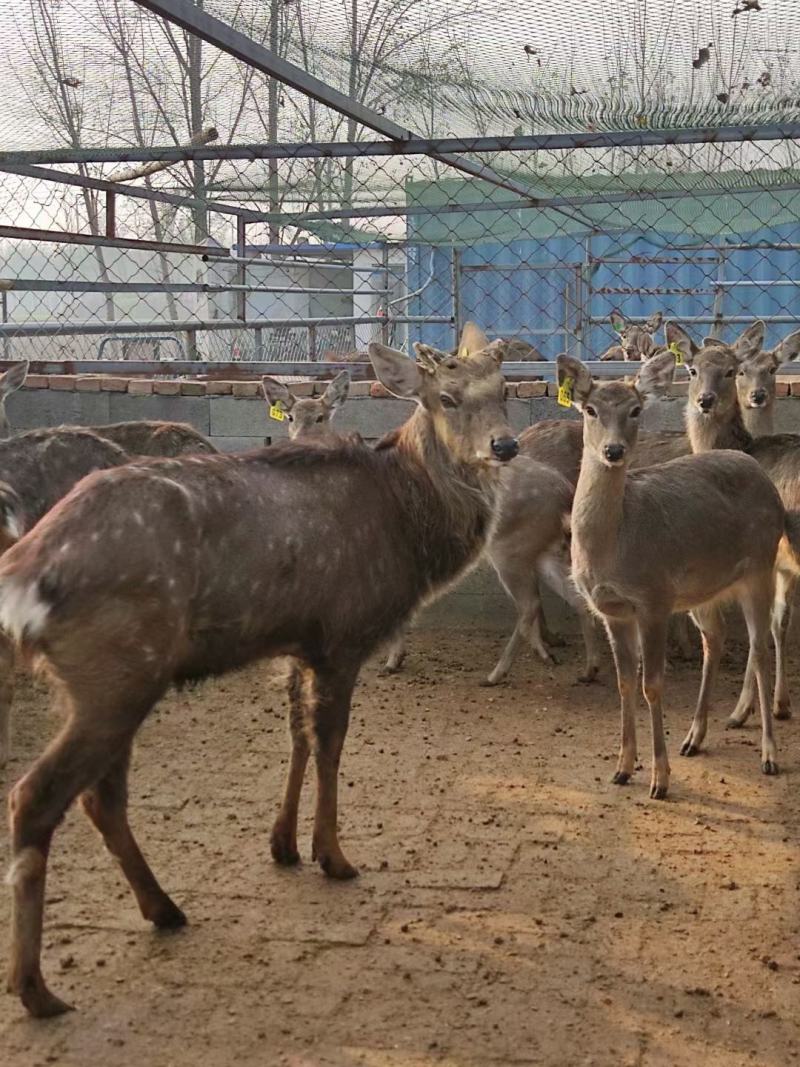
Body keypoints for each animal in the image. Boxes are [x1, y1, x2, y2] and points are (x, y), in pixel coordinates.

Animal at [0, 339, 519, 1017]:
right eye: (447, 397)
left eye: (506, 389)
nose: (505, 446)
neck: (408, 529)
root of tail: (23, 569)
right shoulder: (343, 634)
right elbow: (330, 744)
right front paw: (333, 855)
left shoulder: (297, 640)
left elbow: (295, 734)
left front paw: (283, 844)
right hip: (114, 671)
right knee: (36, 796)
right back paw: (36, 987)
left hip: (114, 681)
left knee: (99, 796)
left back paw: (163, 908)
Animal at [558, 348, 795, 801]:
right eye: (590, 409)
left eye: (636, 409)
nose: (613, 450)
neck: (615, 544)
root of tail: (755, 467)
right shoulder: (613, 609)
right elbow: (624, 682)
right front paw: (621, 768)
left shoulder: (653, 598)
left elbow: (652, 683)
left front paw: (659, 780)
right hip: (702, 588)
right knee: (715, 638)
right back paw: (694, 737)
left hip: (761, 565)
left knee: (760, 645)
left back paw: (769, 753)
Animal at [668, 319, 800, 724]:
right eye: (692, 369)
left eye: (729, 371)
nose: (705, 401)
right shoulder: (783, 566)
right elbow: (778, 622)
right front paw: (780, 704)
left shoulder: (757, 558)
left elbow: (758, 633)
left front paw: (741, 710)